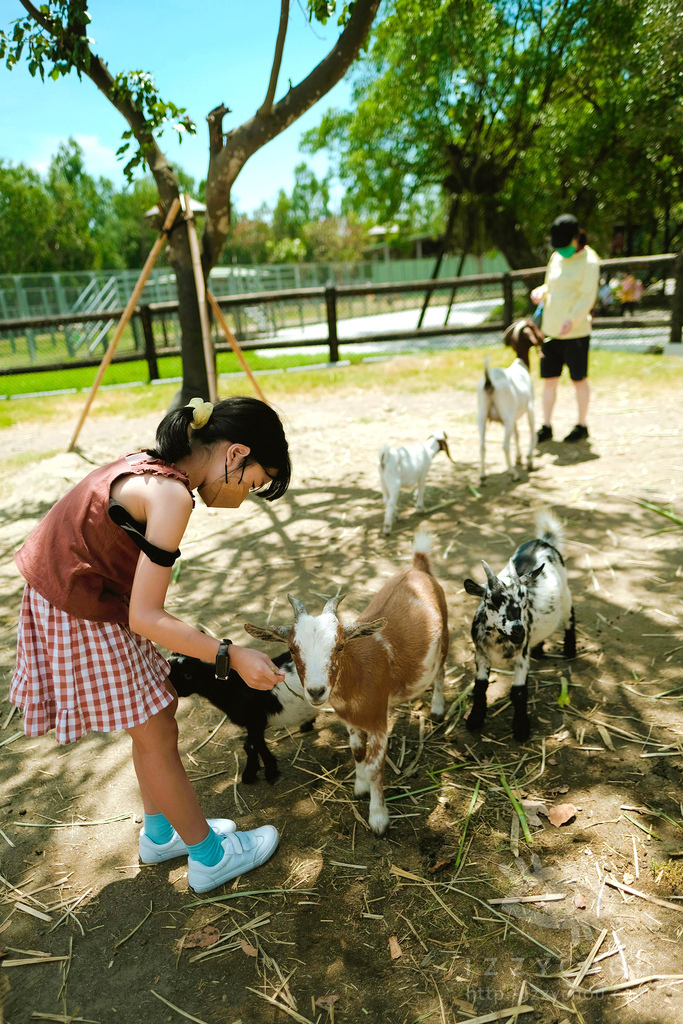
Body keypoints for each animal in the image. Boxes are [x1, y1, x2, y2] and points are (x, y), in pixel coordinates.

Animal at [169, 647, 313, 782]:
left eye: (184, 675)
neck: (231, 686)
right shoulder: (252, 722)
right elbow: (252, 746)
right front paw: (255, 771)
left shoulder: (256, 719)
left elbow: (252, 746)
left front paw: (266, 773)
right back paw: (307, 725)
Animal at [244, 532, 448, 835]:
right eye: (291, 649)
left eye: (340, 646)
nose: (316, 691)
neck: (357, 674)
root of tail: (418, 566)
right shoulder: (351, 721)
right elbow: (357, 752)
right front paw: (360, 787)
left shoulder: (378, 722)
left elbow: (375, 767)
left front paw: (378, 817)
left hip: (444, 637)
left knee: (441, 672)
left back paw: (437, 708)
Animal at [464, 512, 577, 745]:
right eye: (492, 601)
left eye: (523, 600)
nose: (518, 630)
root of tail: (543, 541)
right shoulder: (481, 654)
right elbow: (480, 686)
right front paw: (475, 719)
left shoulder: (521, 658)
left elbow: (518, 692)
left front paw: (521, 728)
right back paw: (539, 649)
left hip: (566, 593)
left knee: (570, 615)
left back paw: (570, 650)